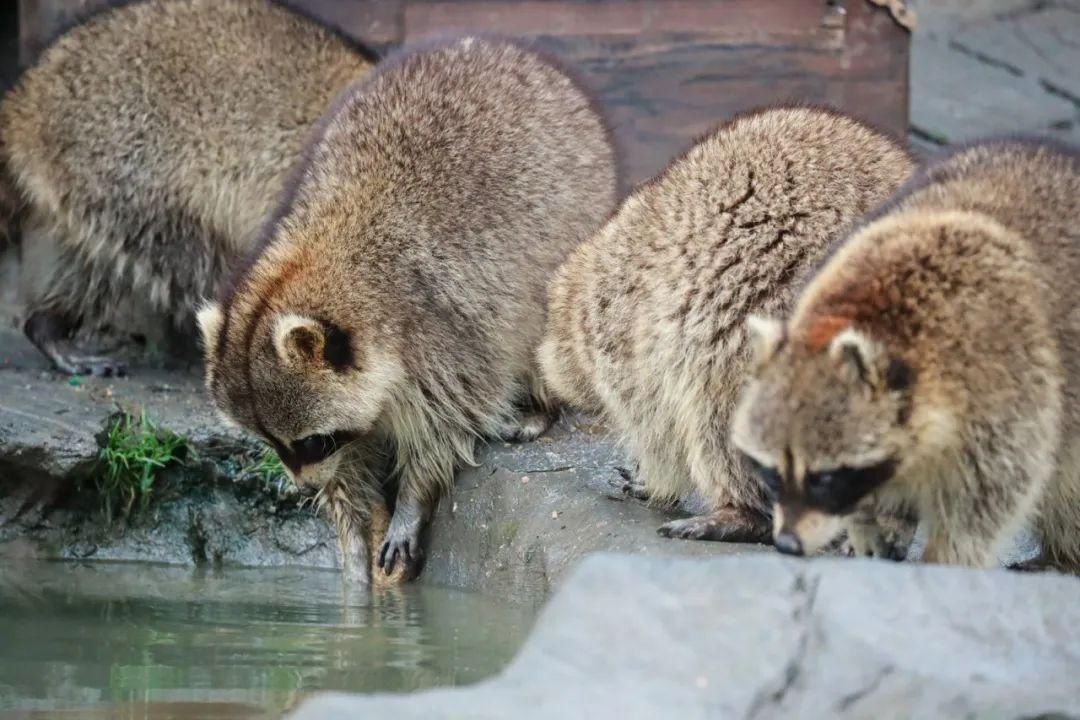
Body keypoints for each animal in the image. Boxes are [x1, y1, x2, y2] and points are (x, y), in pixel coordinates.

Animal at [195, 36, 617, 582]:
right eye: (272, 444)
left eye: (311, 442)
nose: (305, 488)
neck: (316, 259)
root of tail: (501, 47)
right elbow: (355, 459)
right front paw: (349, 528)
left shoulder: (443, 334)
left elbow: (444, 428)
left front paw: (412, 501)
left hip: (574, 225)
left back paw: (538, 406)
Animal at [540, 106, 911, 544]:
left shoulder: (632, 338)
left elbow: (655, 425)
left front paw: (654, 475)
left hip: (759, 321)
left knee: (717, 408)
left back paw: (741, 511)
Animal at [730, 139, 1080, 569]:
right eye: (772, 473)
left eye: (825, 478)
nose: (787, 545)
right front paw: (868, 522)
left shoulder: (1009, 385)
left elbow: (992, 495)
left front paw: (947, 557)